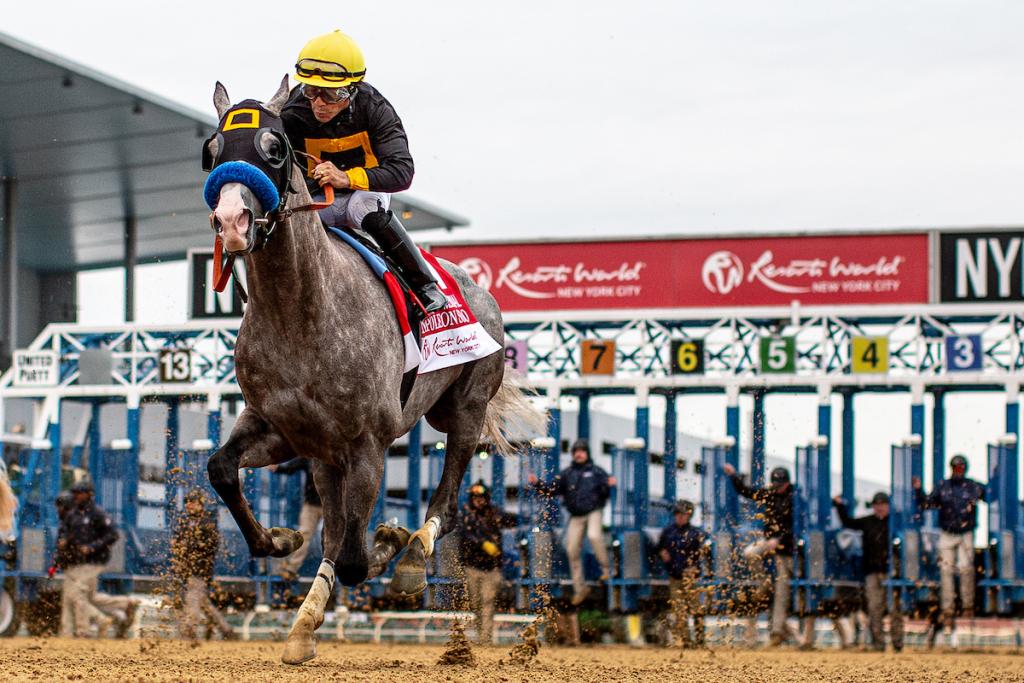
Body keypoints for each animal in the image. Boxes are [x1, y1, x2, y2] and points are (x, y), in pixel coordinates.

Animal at [201, 77, 541, 664]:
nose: (232, 222)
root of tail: (476, 288)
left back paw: (412, 554)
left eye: (275, 148)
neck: (301, 310)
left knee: (444, 505)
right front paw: (279, 541)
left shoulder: (366, 444)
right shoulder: (282, 430)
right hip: (326, 458)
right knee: (337, 528)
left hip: (465, 410)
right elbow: (222, 469)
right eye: (213, 150)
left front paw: (389, 542)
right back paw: (306, 622)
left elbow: (357, 559)